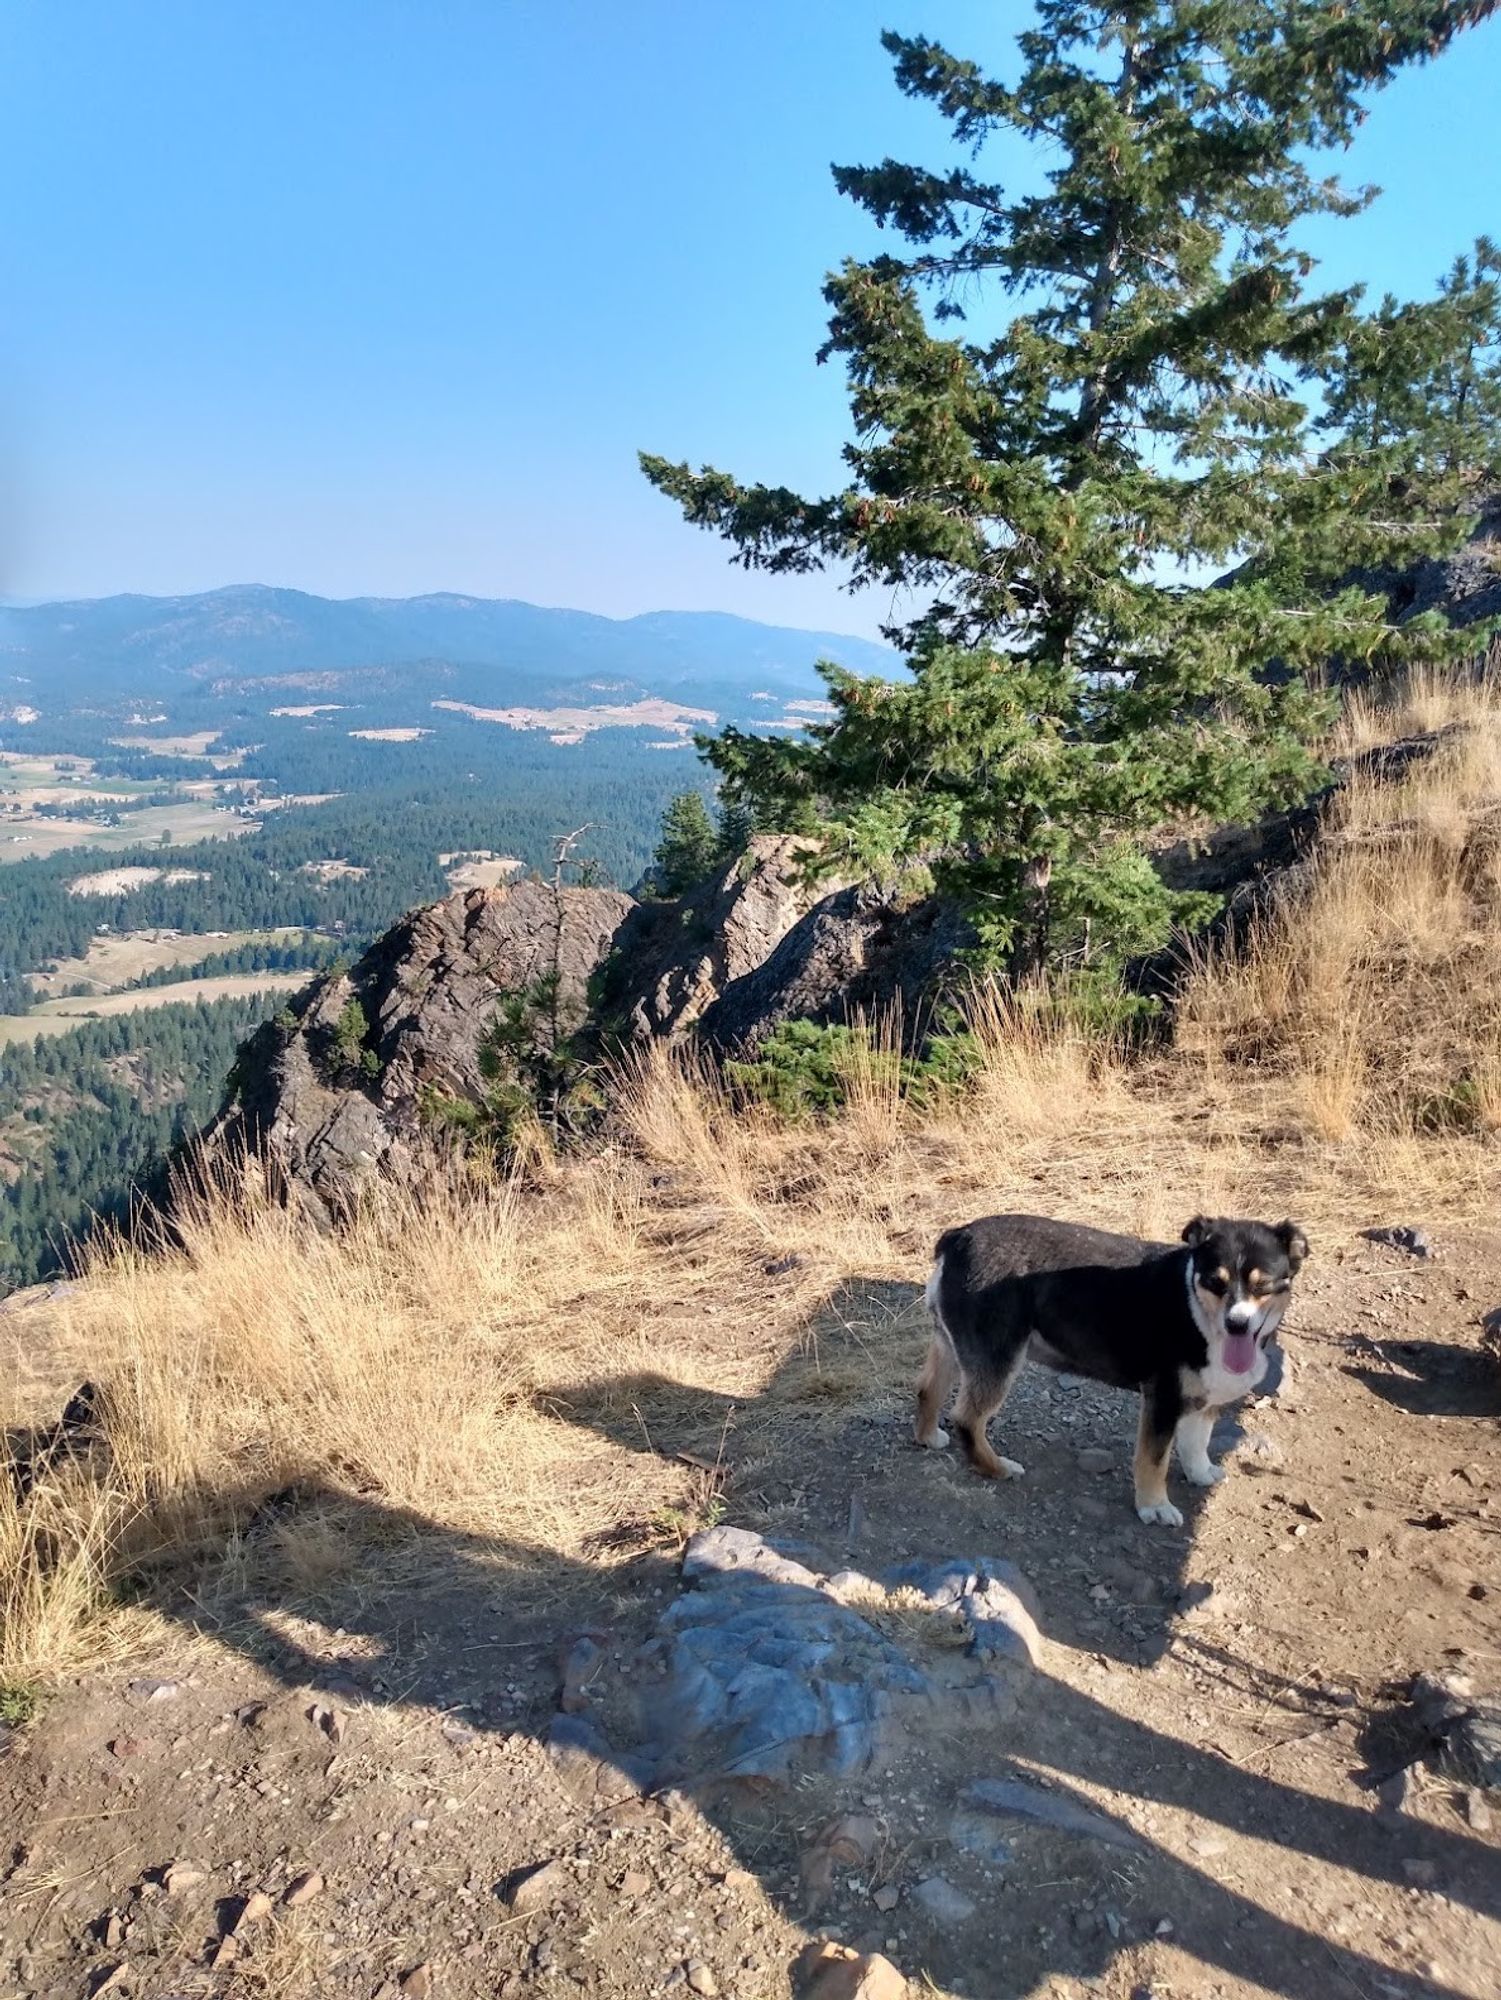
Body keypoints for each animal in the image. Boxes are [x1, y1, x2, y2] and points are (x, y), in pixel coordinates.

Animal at [912, 1208, 1312, 1520]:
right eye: (1216, 1281)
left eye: (1263, 1286)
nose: (1237, 1324)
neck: (1197, 1311)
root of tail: (958, 1237)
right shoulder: (1162, 1400)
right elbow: (1153, 1460)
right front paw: (1154, 1506)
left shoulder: (1203, 1400)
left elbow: (1196, 1443)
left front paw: (1199, 1473)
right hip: (997, 1357)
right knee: (968, 1419)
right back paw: (996, 1467)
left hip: (952, 1346)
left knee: (928, 1389)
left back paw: (928, 1436)